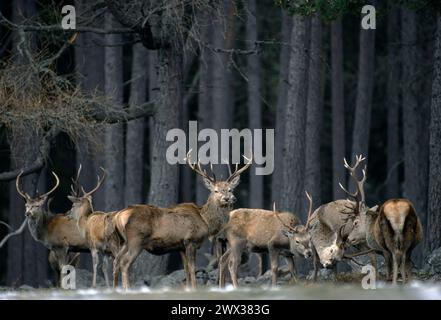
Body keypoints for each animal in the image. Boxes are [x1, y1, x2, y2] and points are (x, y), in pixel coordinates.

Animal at [111, 151, 251, 288]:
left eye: (230, 189)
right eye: (216, 191)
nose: (228, 198)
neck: (206, 221)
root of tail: (119, 216)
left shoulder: (180, 246)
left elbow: (186, 271)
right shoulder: (190, 241)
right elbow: (192, 269)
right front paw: (194, 288)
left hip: (124, 241)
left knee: (116, 260)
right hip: (136, 240)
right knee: (125, 262)